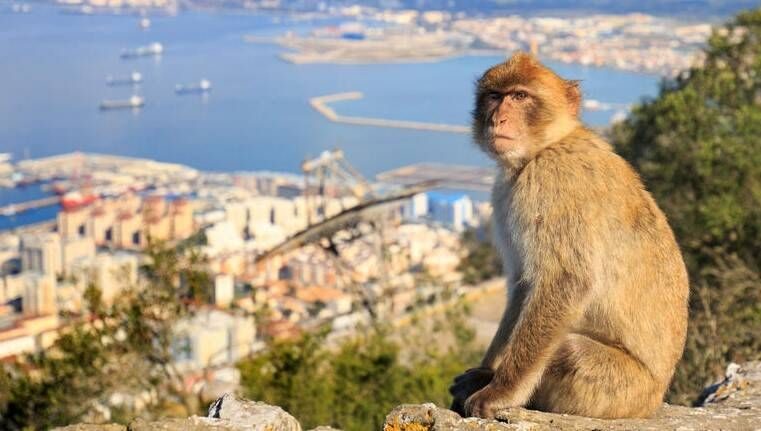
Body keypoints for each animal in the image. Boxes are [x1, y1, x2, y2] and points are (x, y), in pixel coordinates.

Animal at [448, 52, 689, 420]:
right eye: (494, 96)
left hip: (621, 390)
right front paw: (487, 374)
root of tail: (655, 398)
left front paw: (500, 391)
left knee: (569, 351)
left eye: (520, 96)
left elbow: (565, 281)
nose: (497, 118)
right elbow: (524, 284)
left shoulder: (552, 181)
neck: (547, 146)